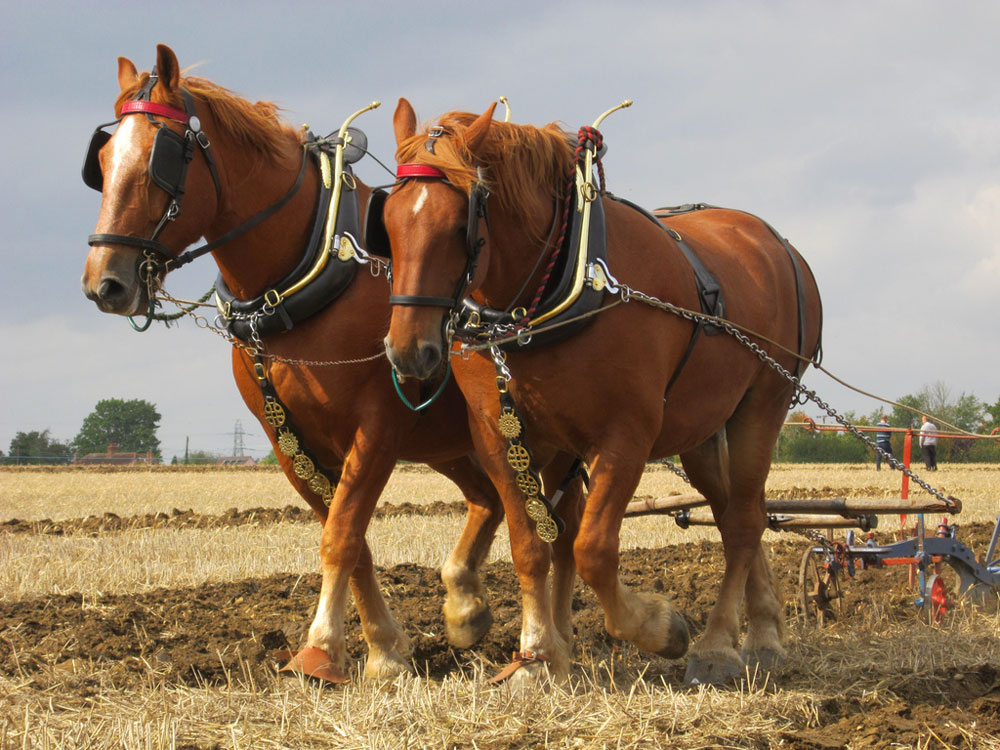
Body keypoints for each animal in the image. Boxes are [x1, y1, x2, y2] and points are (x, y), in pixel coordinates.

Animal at [81, 44, 568, 684]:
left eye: (158, 160)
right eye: (102, 160)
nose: (104, 284)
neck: (308, 268)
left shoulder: (379, 424)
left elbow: (342, 532)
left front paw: (321, 649)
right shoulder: (288, 437)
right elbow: (350, 535)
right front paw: (385, 648)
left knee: (553, 517)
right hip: (452, 439)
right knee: (489, 499)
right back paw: (465, 608)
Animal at [378, 98, 824, 688]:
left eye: (459, 224)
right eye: (387, 220)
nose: (409, 351)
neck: (564, 280)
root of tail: (782, 246)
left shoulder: (625, 436)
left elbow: (591, 548)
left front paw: (659, 627)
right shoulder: (501, 435)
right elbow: (531, 545)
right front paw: (538, 654)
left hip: (763, 405)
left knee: (747, 518)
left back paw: (720, 645)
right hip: (703, 431)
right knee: (733, 516)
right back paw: (762, 632)